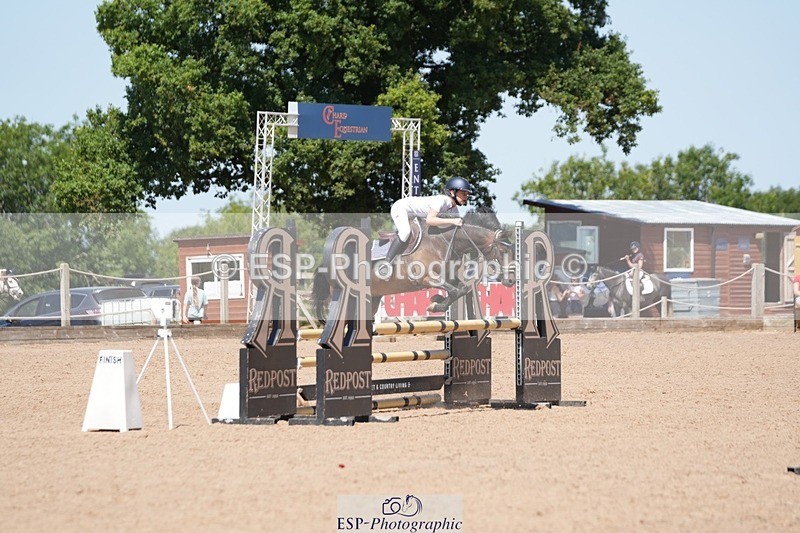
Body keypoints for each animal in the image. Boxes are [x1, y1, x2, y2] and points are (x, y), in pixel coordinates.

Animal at [311, 208, 515, 320]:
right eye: (503, 251)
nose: (510, 281)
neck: (442, 241)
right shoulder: (425, 278)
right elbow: (456, 290)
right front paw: (435, 305)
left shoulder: (449, 277)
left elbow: (460, 289)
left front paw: (436, 301)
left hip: (373, 298)